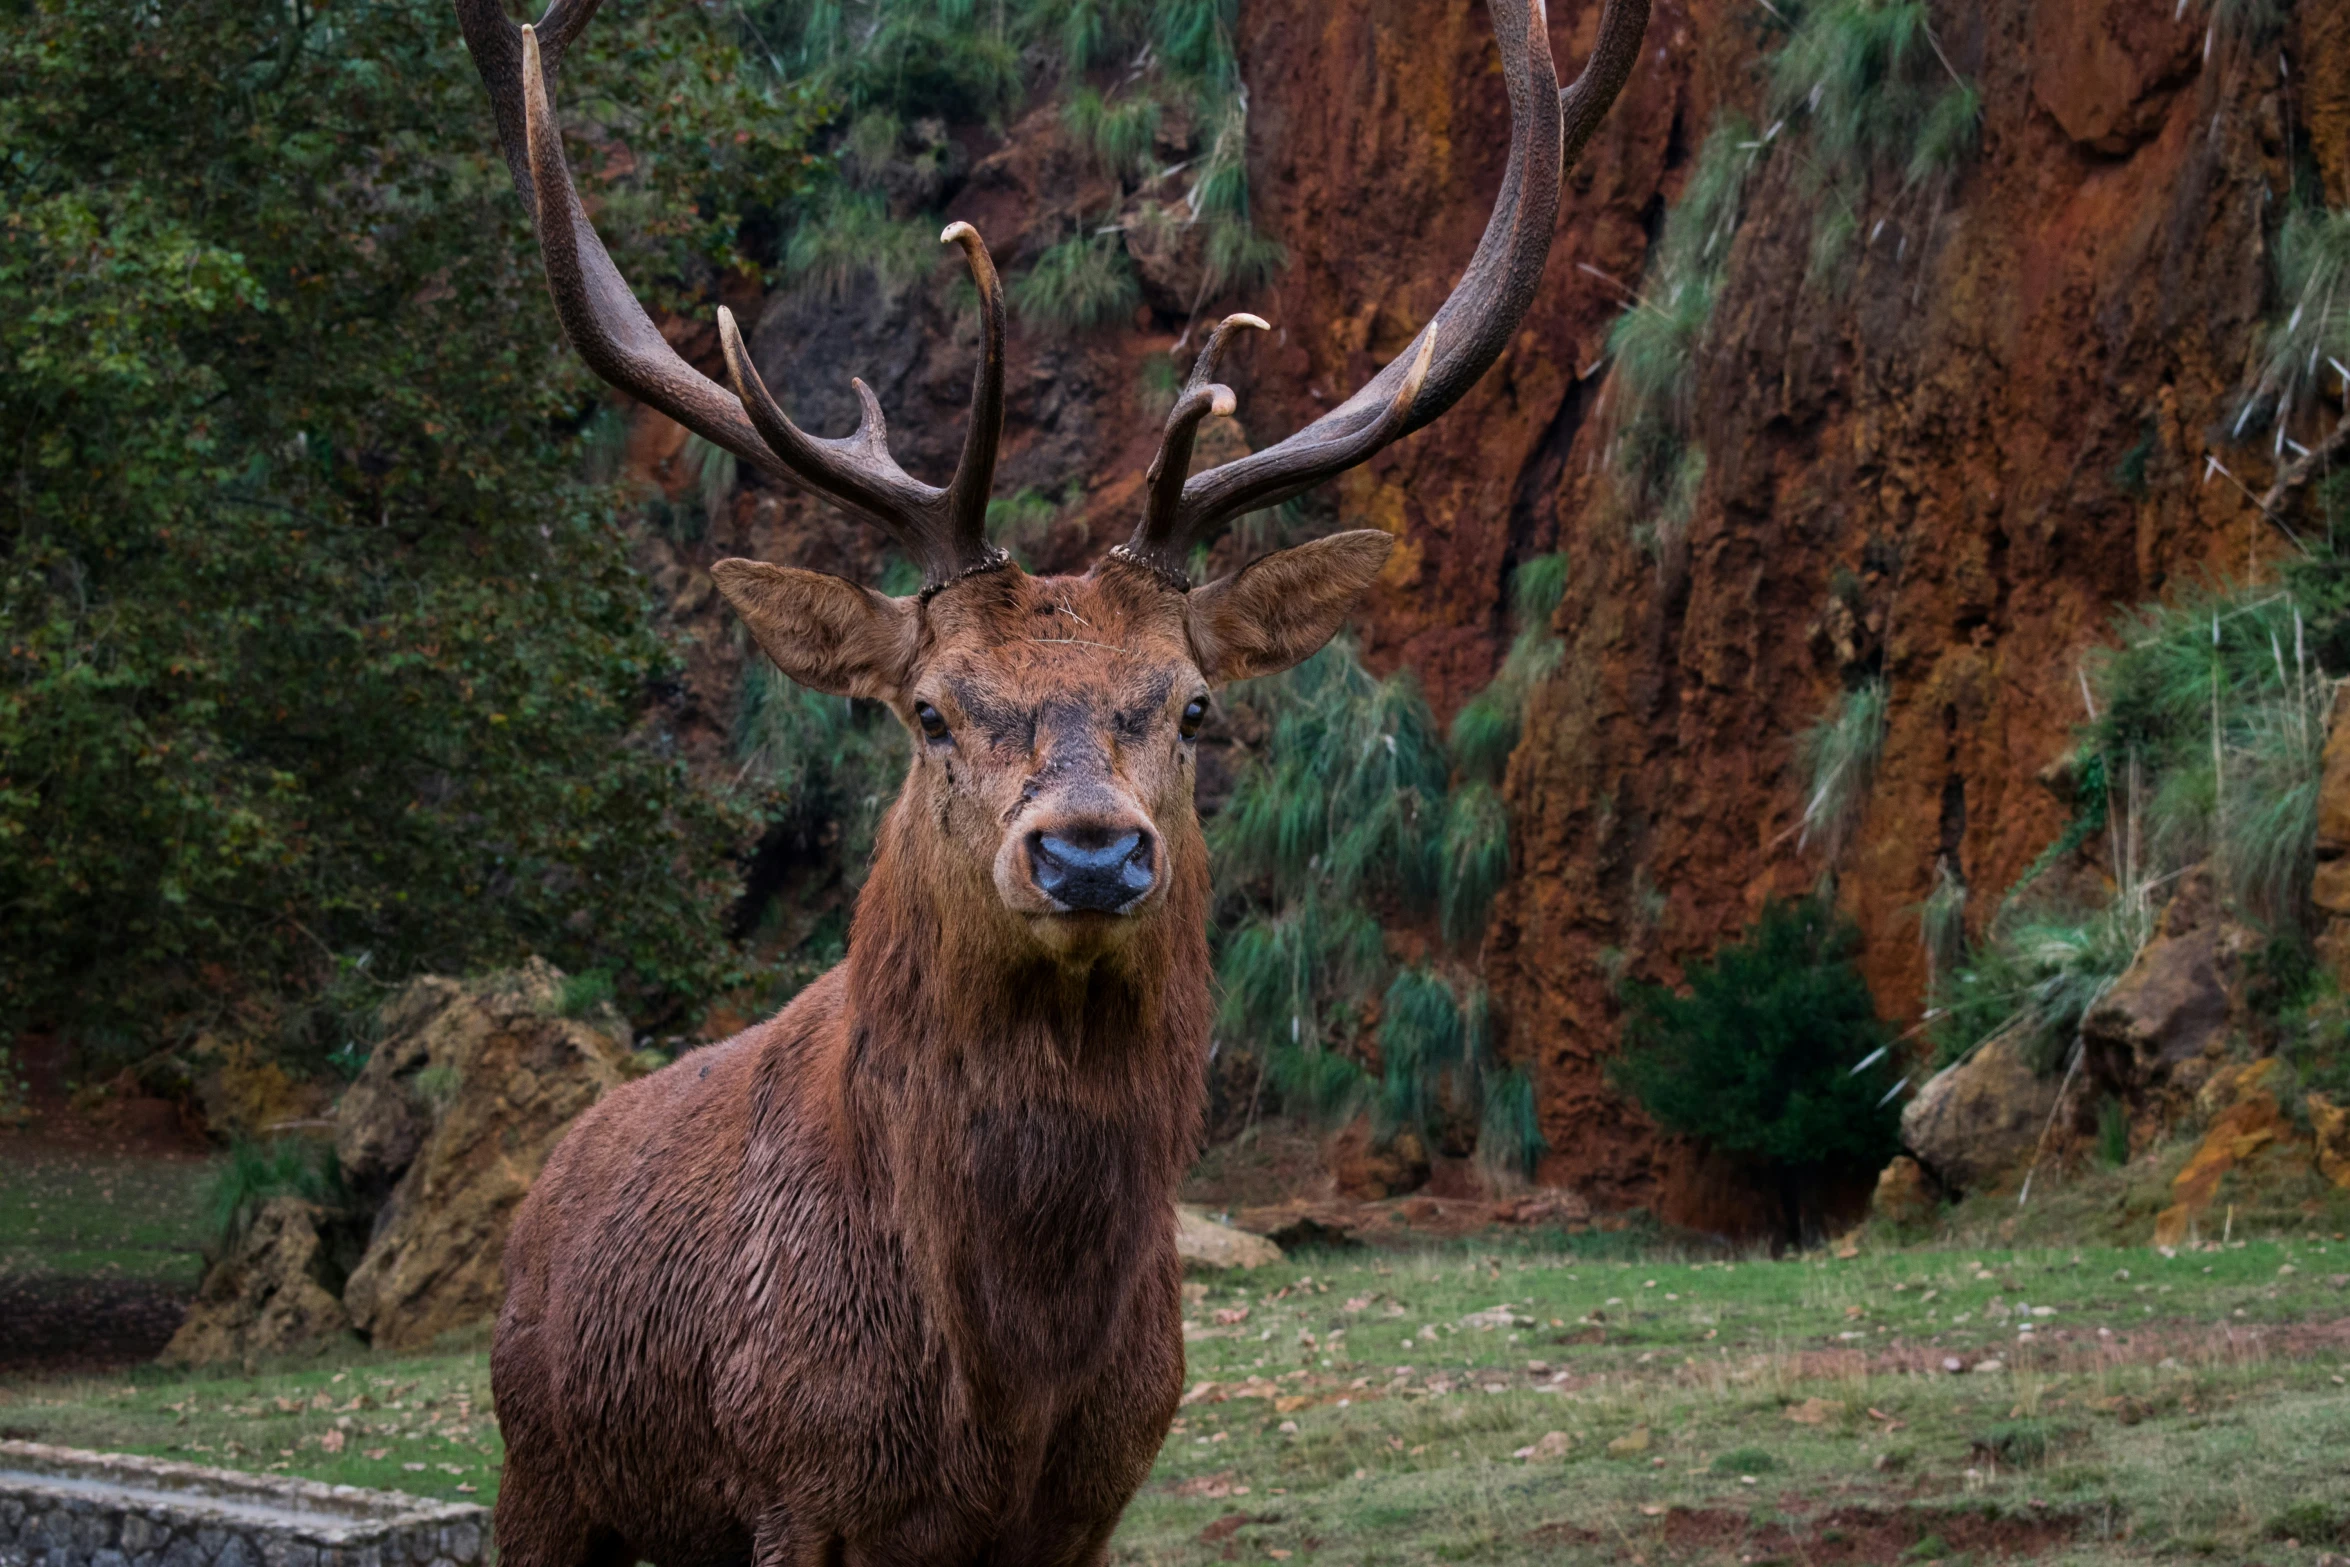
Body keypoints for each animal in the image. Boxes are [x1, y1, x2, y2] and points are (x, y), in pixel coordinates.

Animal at [444, 0, 1654, 1559]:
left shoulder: (1096, 1488)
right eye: (928, 710)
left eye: (1193, 704)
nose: (1088, 850)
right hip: (540, 1465)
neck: (1006, 1383)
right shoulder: (794, 1475)